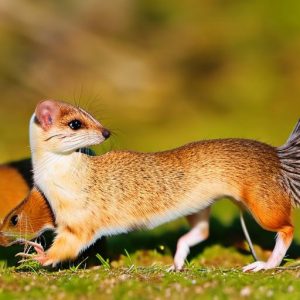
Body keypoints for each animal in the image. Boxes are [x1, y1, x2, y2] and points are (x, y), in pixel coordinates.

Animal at [25, 99, 298, 272]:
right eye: (75, 123)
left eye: (92, 116)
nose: (106, 132)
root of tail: (276, 155)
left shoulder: (78, 227)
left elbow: (64, 249)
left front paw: (37, 256)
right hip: (199, 206)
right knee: (202, 231)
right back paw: (176, 262)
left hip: (263, 207)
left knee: (287, 229)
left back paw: (266, 264)